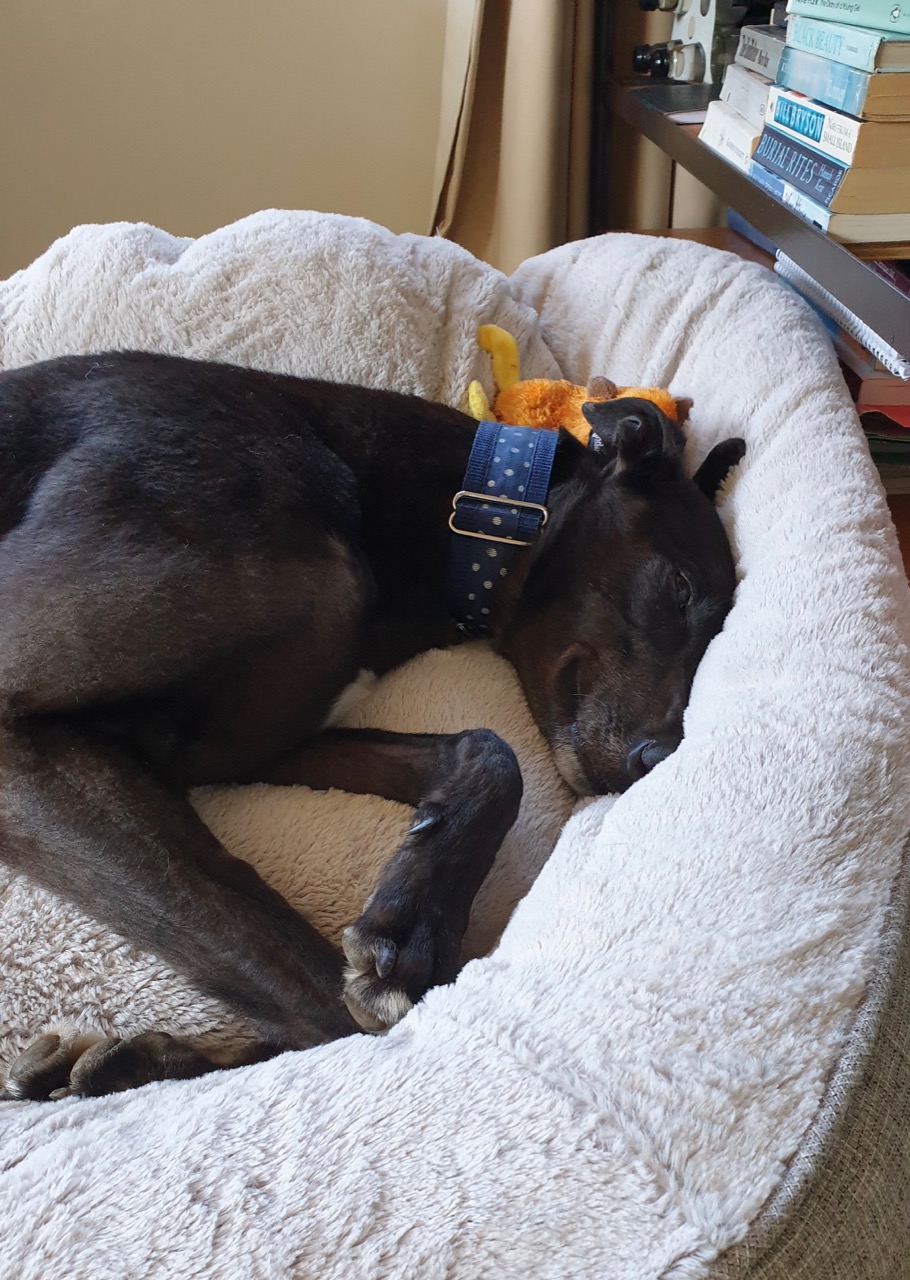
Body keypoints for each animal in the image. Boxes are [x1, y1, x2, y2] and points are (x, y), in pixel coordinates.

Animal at [0, 351, 744, 1100]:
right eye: (680, 589)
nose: (659, 757)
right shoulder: (20, 729)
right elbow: (317, 991)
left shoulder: (224, 749)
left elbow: (490, 752)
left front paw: (413, 922)